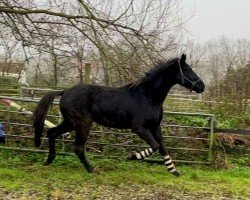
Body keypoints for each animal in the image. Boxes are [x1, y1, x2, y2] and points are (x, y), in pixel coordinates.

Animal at [33, 54, 205, 176]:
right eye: (187, 70)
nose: (202, 86)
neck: (148, 97)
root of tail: (65, 91)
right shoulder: (139, 128)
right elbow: (155, 146)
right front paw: (130, 156)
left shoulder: (155, 127)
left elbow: (163, 147)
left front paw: (174, 171)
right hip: (83, 123)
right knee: (78, 147)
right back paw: (91, 169)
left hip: (70, 123)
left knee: (52, 133)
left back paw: (48, 160)